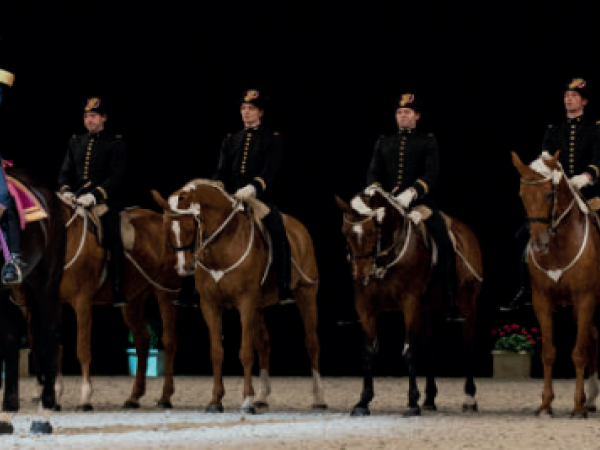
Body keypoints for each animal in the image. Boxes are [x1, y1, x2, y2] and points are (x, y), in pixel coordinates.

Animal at [47, 200, 180, 412]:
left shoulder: (82, 302)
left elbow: (82, 349)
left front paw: (85, 398)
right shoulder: (55, 303)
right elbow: (56, 347)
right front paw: (55, 398)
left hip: (165, 292)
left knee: (169, 340)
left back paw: (165, 396)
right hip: (133, 299)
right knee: (142, 339)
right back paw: (134, 397)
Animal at [152, 180, 326, 414]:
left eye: (191, 224)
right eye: (167, 229)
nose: (184, 268)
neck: (223, 245)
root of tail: (299, 228)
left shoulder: (246, 303)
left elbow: (245, 352)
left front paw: (246, 400)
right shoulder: (211, 305)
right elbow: (217, 352)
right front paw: (216, 401)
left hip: (306, 296)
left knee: (312, 343)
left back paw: (318, 398)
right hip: (260, 306)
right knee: (264, 344)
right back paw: (262, 396)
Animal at [338, 185, 482, 414]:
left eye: (372, 231)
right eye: (345, 234)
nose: (361, 276)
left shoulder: (410, 304)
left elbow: (409, 350)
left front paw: (413, 402)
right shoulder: (366, 307)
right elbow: (368, 351)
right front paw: (363, 402)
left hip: (468, 301)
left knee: (468, 347)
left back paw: (469, 398)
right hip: (426, 309)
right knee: (431, 346)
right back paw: (430, 399)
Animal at [510, 151, 600, 418]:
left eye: (550, 194)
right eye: (522, 194)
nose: (539, 244)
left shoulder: (585, 298)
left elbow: (578, 353)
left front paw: (577, 407)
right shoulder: (542, 300)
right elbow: (549, 352)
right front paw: (545, 405)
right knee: (593, 337)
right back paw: (591, 398)